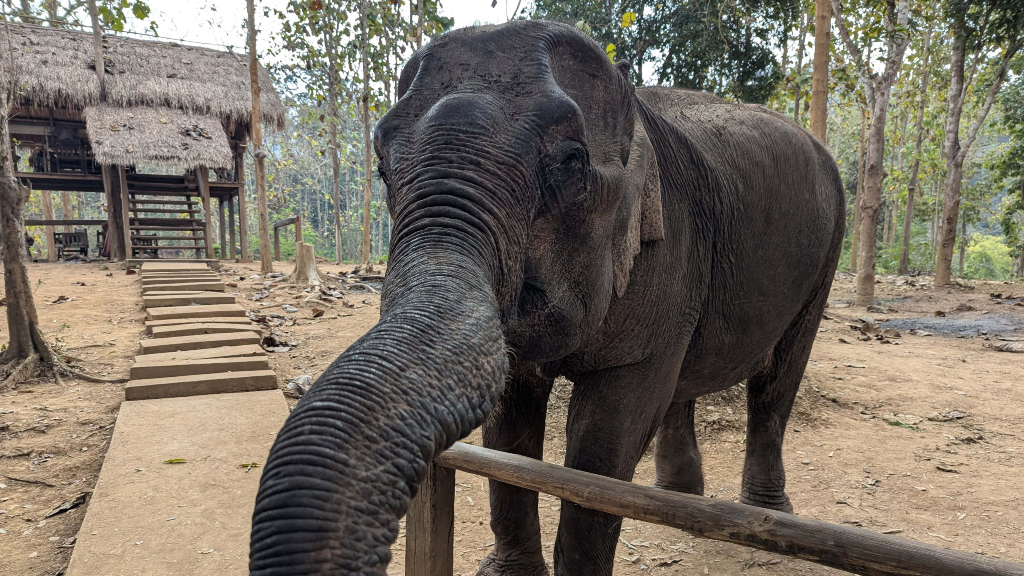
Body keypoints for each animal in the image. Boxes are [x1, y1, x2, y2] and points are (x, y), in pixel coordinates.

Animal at [250, 20, 845, 576]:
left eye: (570, 163)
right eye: (381, 170)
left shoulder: (670, 250)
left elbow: (602, 443)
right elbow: (509, 421)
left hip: (826, 255)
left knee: (776, 380)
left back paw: (767, 517)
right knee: (686, 383)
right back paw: (675, 501)